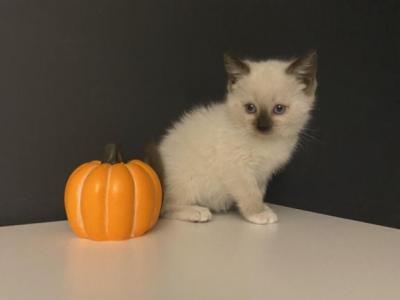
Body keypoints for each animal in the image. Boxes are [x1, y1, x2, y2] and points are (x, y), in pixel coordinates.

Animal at [148, 51, 318, 224]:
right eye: (250, 108)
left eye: (279, 109)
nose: (262, 126)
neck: (266, 143)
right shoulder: (238, 169)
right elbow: (250, 195)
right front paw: (259, 214)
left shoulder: (262, 173)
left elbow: (259, 193)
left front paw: (263, 208)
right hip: (189, 181)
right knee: (165, 207)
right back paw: (197, 212)